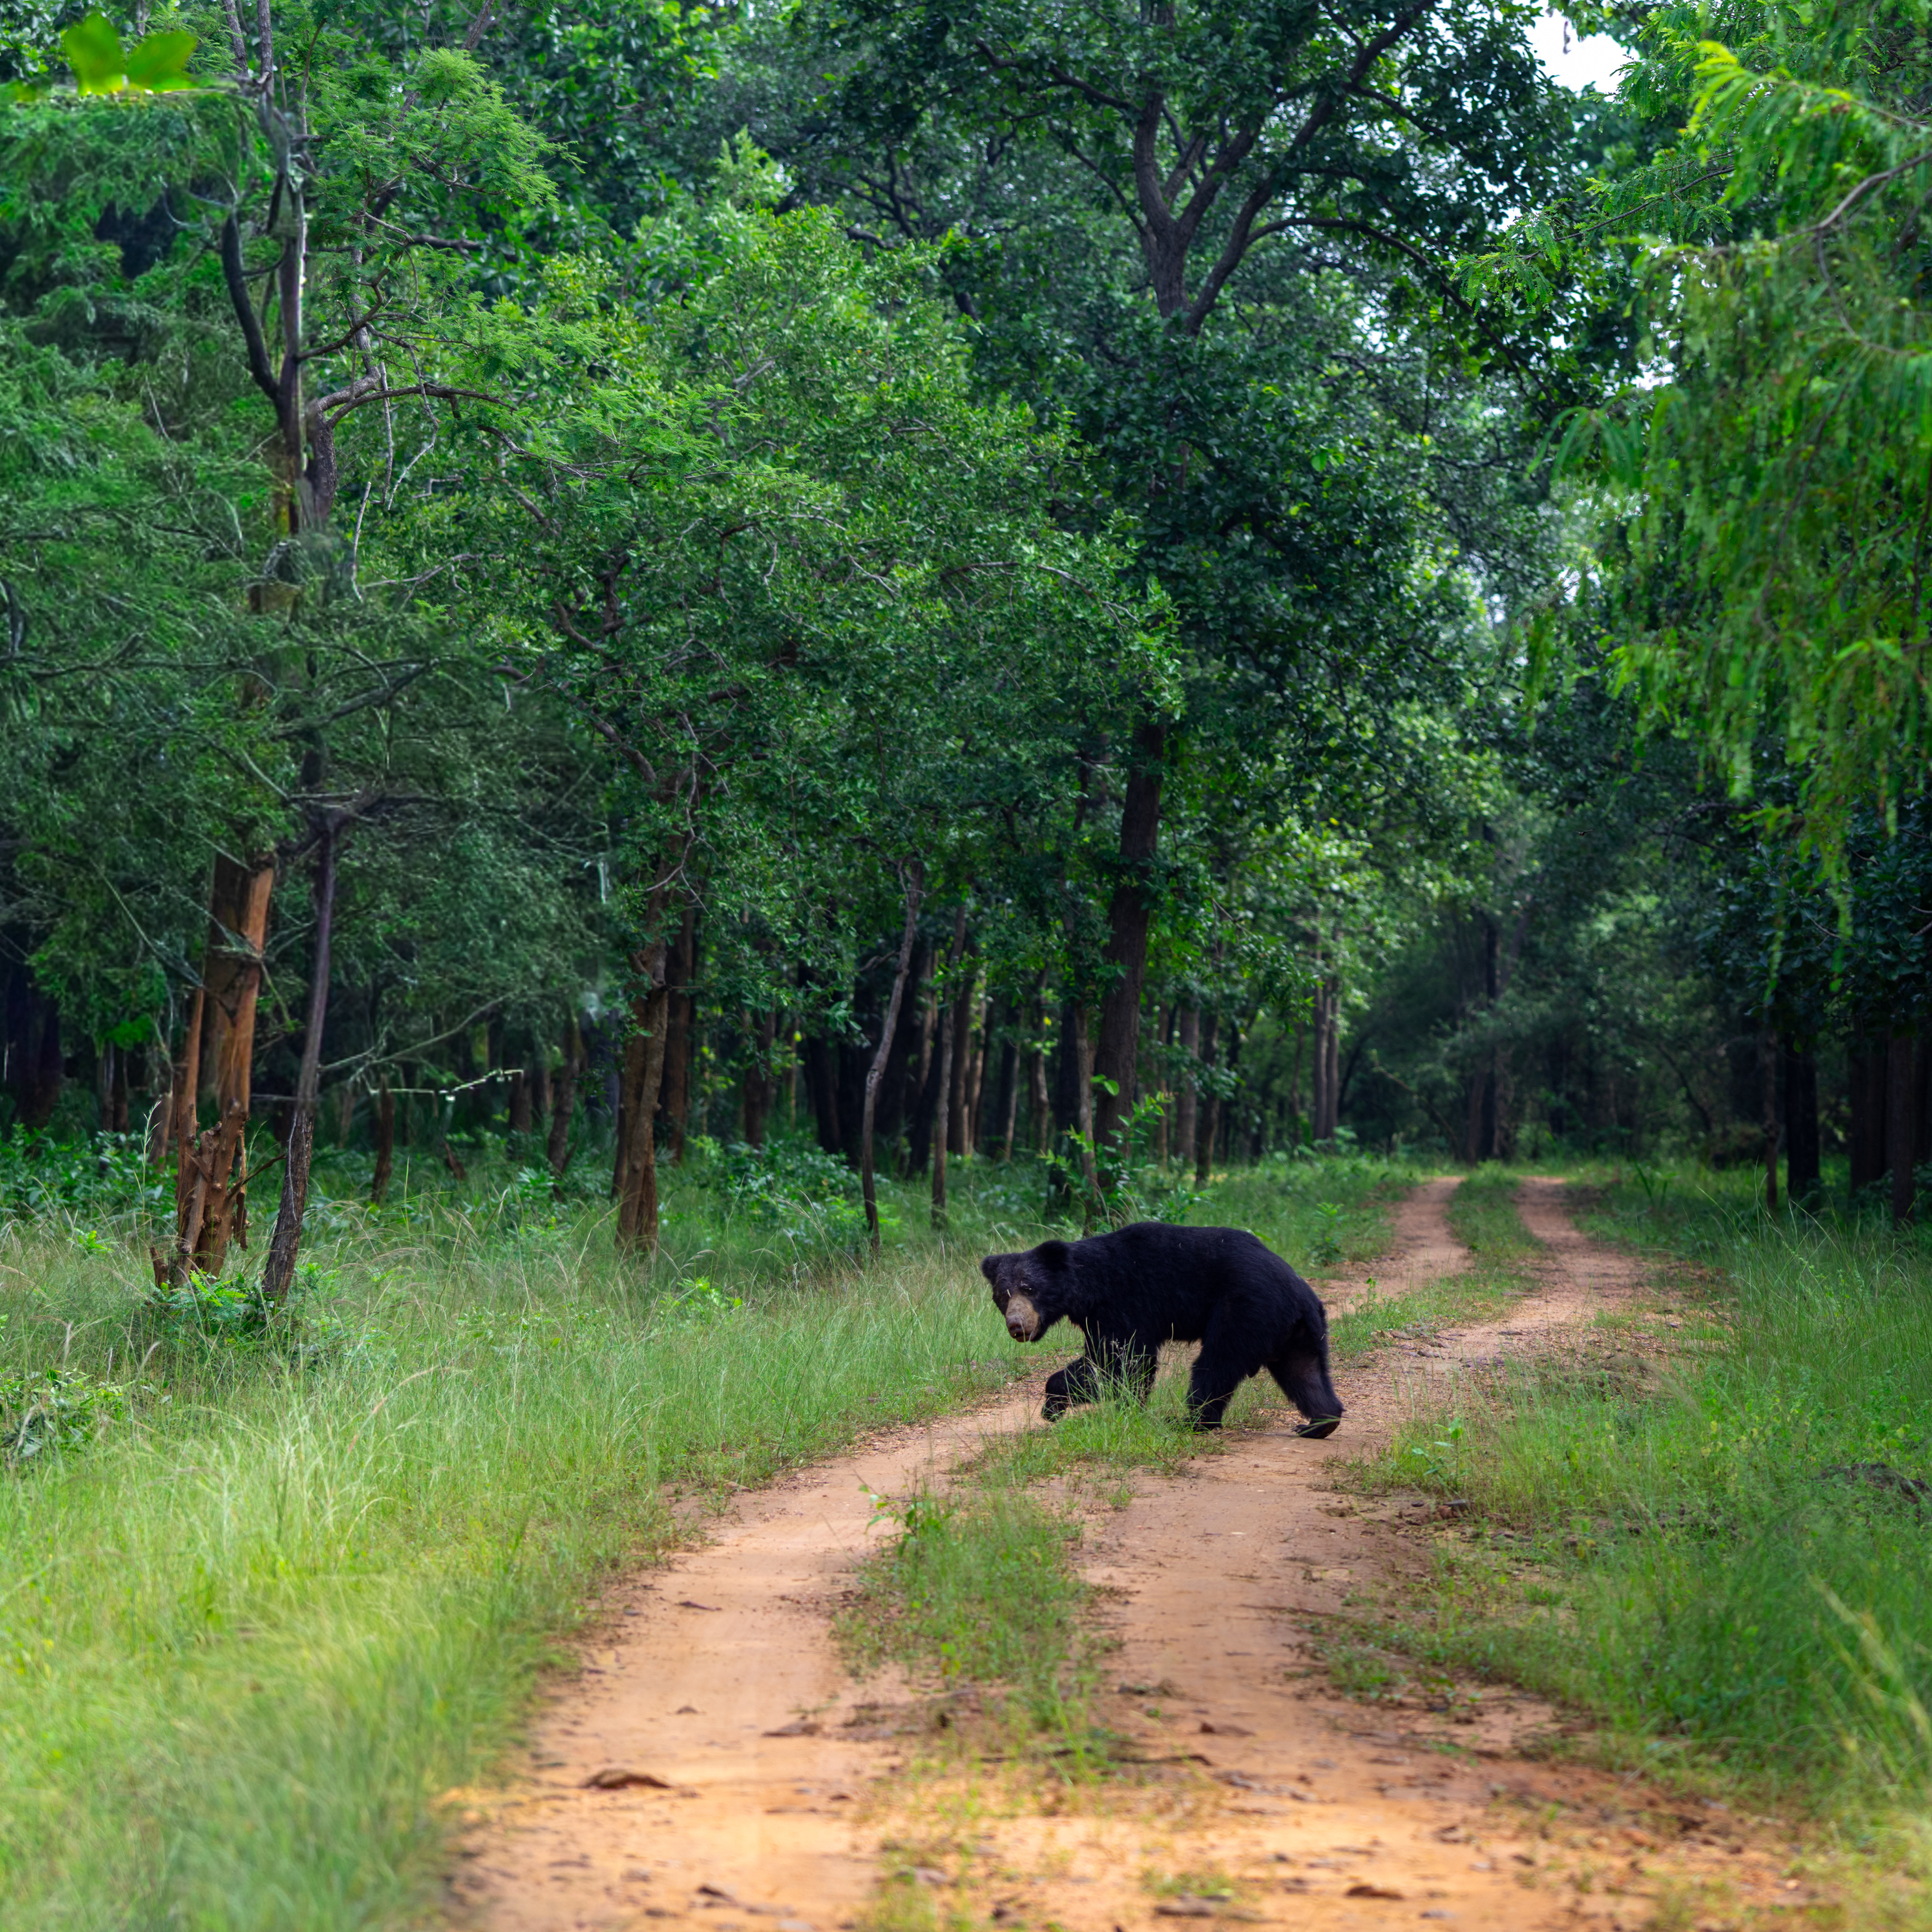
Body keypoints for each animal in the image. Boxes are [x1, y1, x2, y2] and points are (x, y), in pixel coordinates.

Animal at [980, 1221, 1342, 1436]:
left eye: (1029, 1288)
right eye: (1002, 1295)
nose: (1016, 1325)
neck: (1089, 1287)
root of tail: (1302, 1295)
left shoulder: (1123, 1303)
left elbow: (1124, 1362)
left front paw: (1059, 1405)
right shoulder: (1098, 1316)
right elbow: (1105, 1359)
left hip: (1244, 1310)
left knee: (1216, 1366)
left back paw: (1193, 1421)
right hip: (1296, 1332)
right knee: (1305, 1372)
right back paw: (1319, 1423)